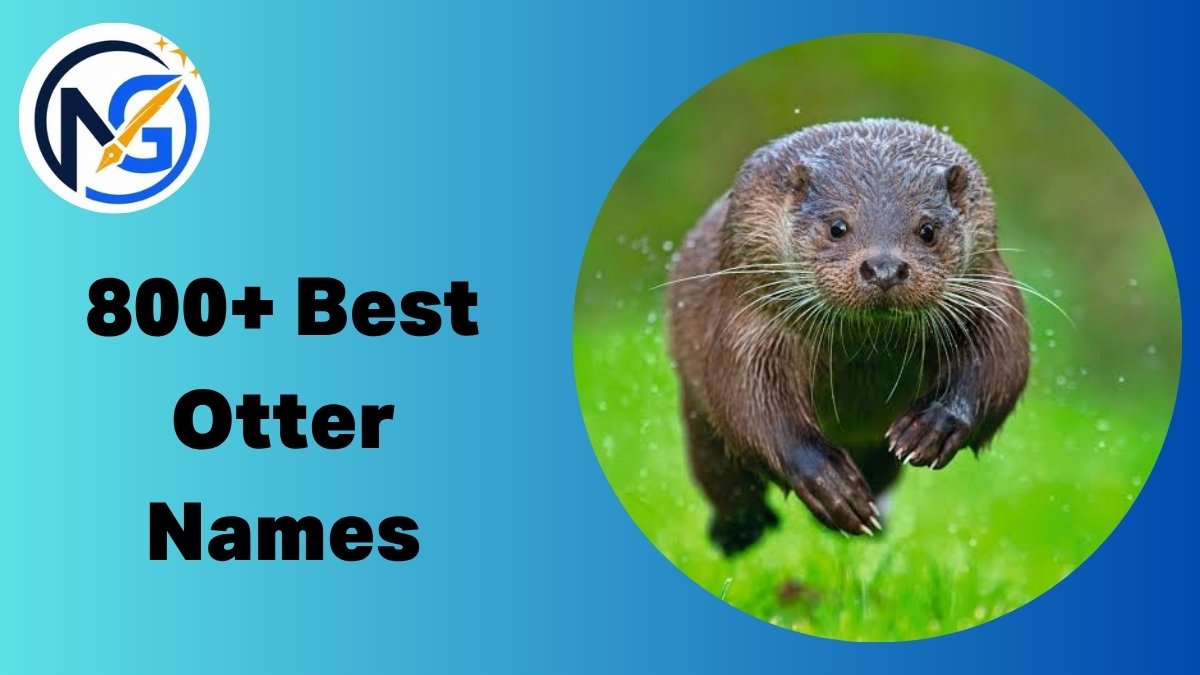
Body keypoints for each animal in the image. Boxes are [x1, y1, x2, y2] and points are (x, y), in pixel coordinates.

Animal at [666, 119, 1029, 555]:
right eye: (837, 227)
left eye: (927, 229)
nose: (885, 267)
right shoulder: (751, 322)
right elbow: (749, 400)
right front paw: (829, 482)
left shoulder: (987, 293)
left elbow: (1000, 360)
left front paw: (932, 426)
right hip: (698, 420)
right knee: (721, 474)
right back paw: (738, 531)